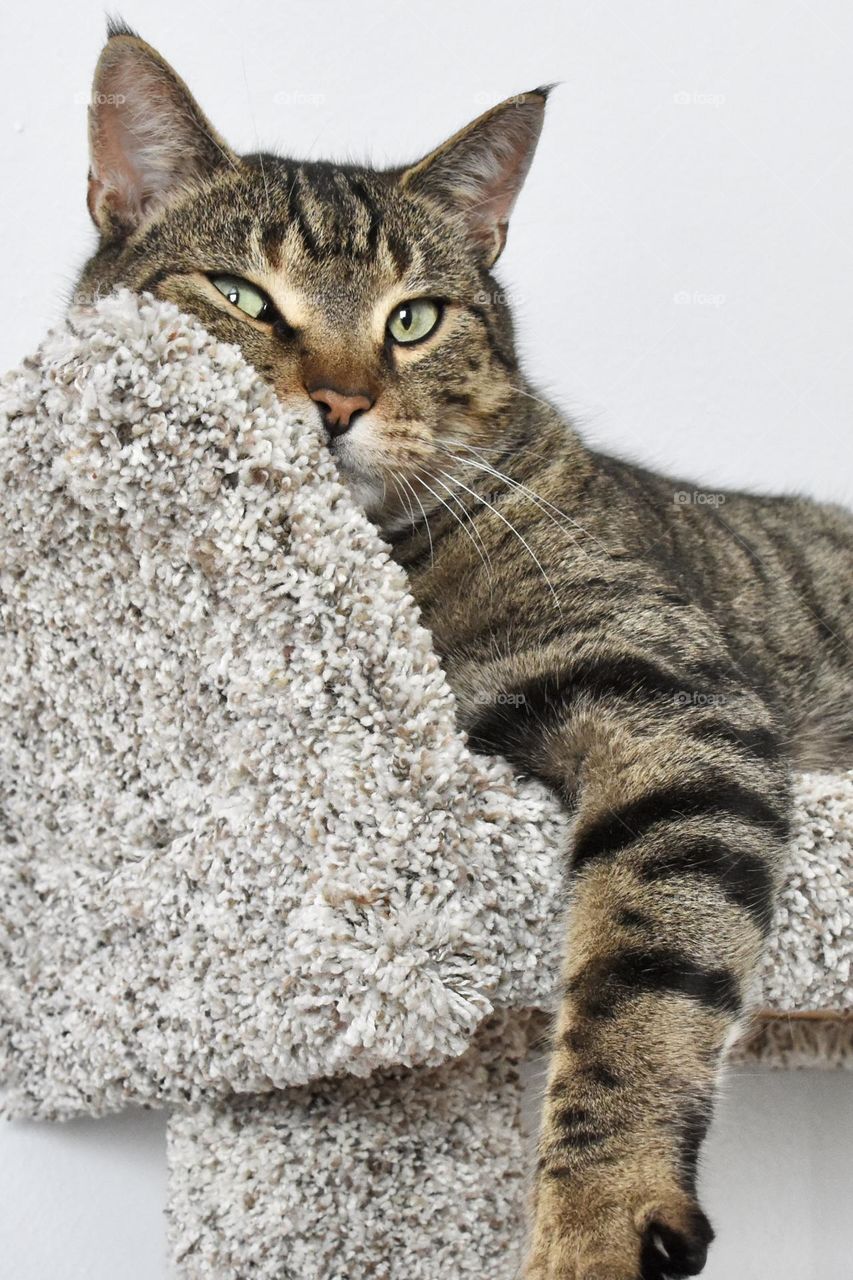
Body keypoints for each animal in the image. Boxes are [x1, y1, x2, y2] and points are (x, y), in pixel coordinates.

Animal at [73, 20, 850, 1280]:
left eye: (413, 317)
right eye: (242, 295)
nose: (338, 399)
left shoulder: (674, 702)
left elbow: (643, 972)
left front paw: (596, 1216)